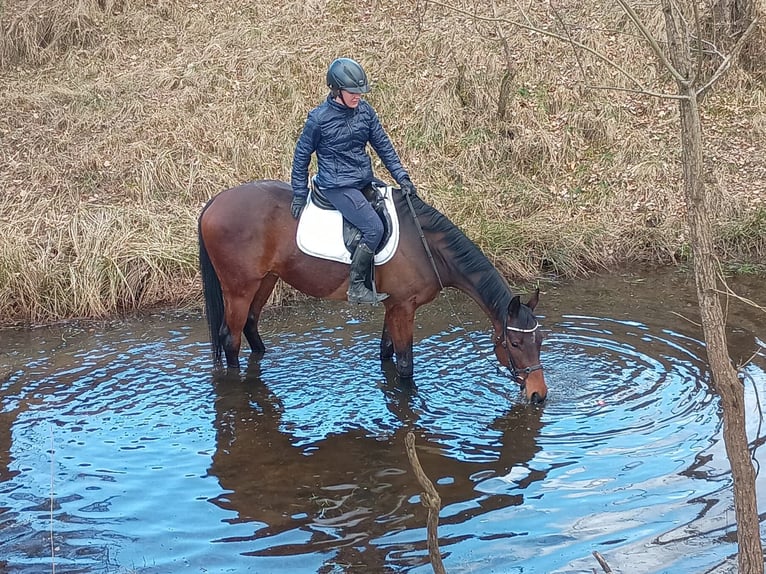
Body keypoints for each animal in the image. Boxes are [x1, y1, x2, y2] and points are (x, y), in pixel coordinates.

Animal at [197, 179, 547, 404]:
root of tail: (215, 202)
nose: (538, 394)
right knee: (231, 338)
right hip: (239, 289)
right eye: (515, 343)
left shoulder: (393, 306)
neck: (427, 246)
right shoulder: (404, 308)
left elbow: (386, 353)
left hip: (265, 280)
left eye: (540, 341)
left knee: (251, 326)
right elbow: (405, 365)